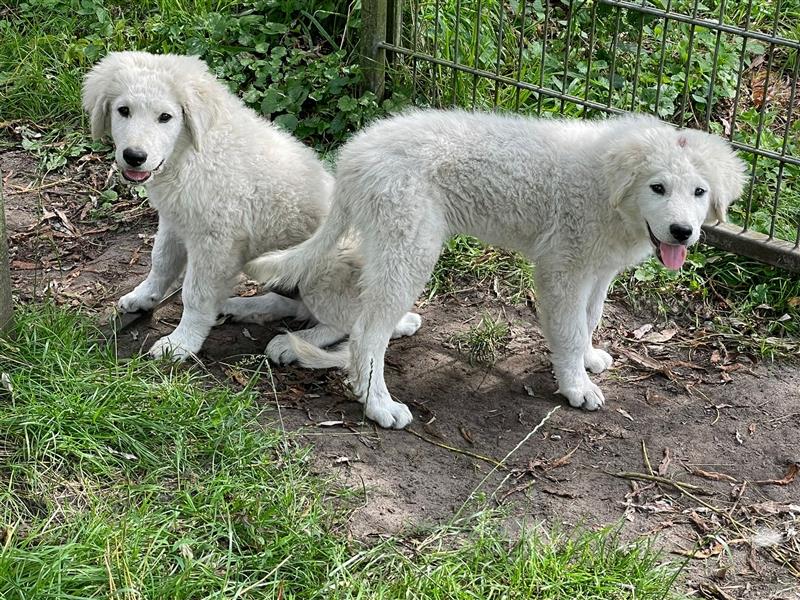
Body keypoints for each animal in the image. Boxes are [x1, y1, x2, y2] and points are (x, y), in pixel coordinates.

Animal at [82, 51, 334, 358]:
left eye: (165, 117)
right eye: (123, 110)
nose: (134, 156)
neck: (189, 154)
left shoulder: (216, 243)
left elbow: (196, 295)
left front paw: (181, 343)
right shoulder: (174, 219)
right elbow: (161, 260)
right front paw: (144, 296)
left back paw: (295, 344)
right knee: (294, 305)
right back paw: (242, 307)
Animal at [247, 110, 748, 428]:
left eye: (700, 191)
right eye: (657, 187)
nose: (682, 232)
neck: (609, 190)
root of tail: (355, 154)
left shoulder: (596, 269)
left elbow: (589, 319)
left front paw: (588, 359)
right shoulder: (562, 269)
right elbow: (568, 330)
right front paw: (576, 386)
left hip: (387, 243)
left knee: (355, 316)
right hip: (411, 247)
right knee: (368, 332)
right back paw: (379, 405)